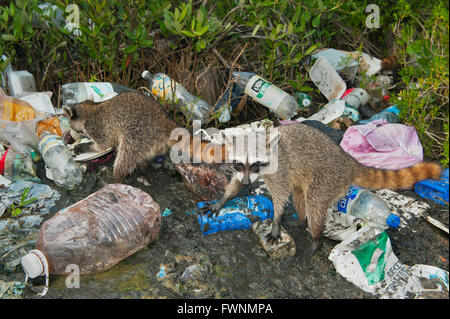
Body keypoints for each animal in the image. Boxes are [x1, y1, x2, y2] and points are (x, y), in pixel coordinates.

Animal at [199, 125, 442, 260]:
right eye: (240, 164)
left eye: (258, 163)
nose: (249, 182)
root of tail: (348, 162)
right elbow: (235, 184)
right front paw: (223, 200)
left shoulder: (281, 169)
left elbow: (280, 195)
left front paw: (276, 221)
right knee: (300, 195)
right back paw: (301, 220)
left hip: (327, 178)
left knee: (314, 203)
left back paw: (316, 239)